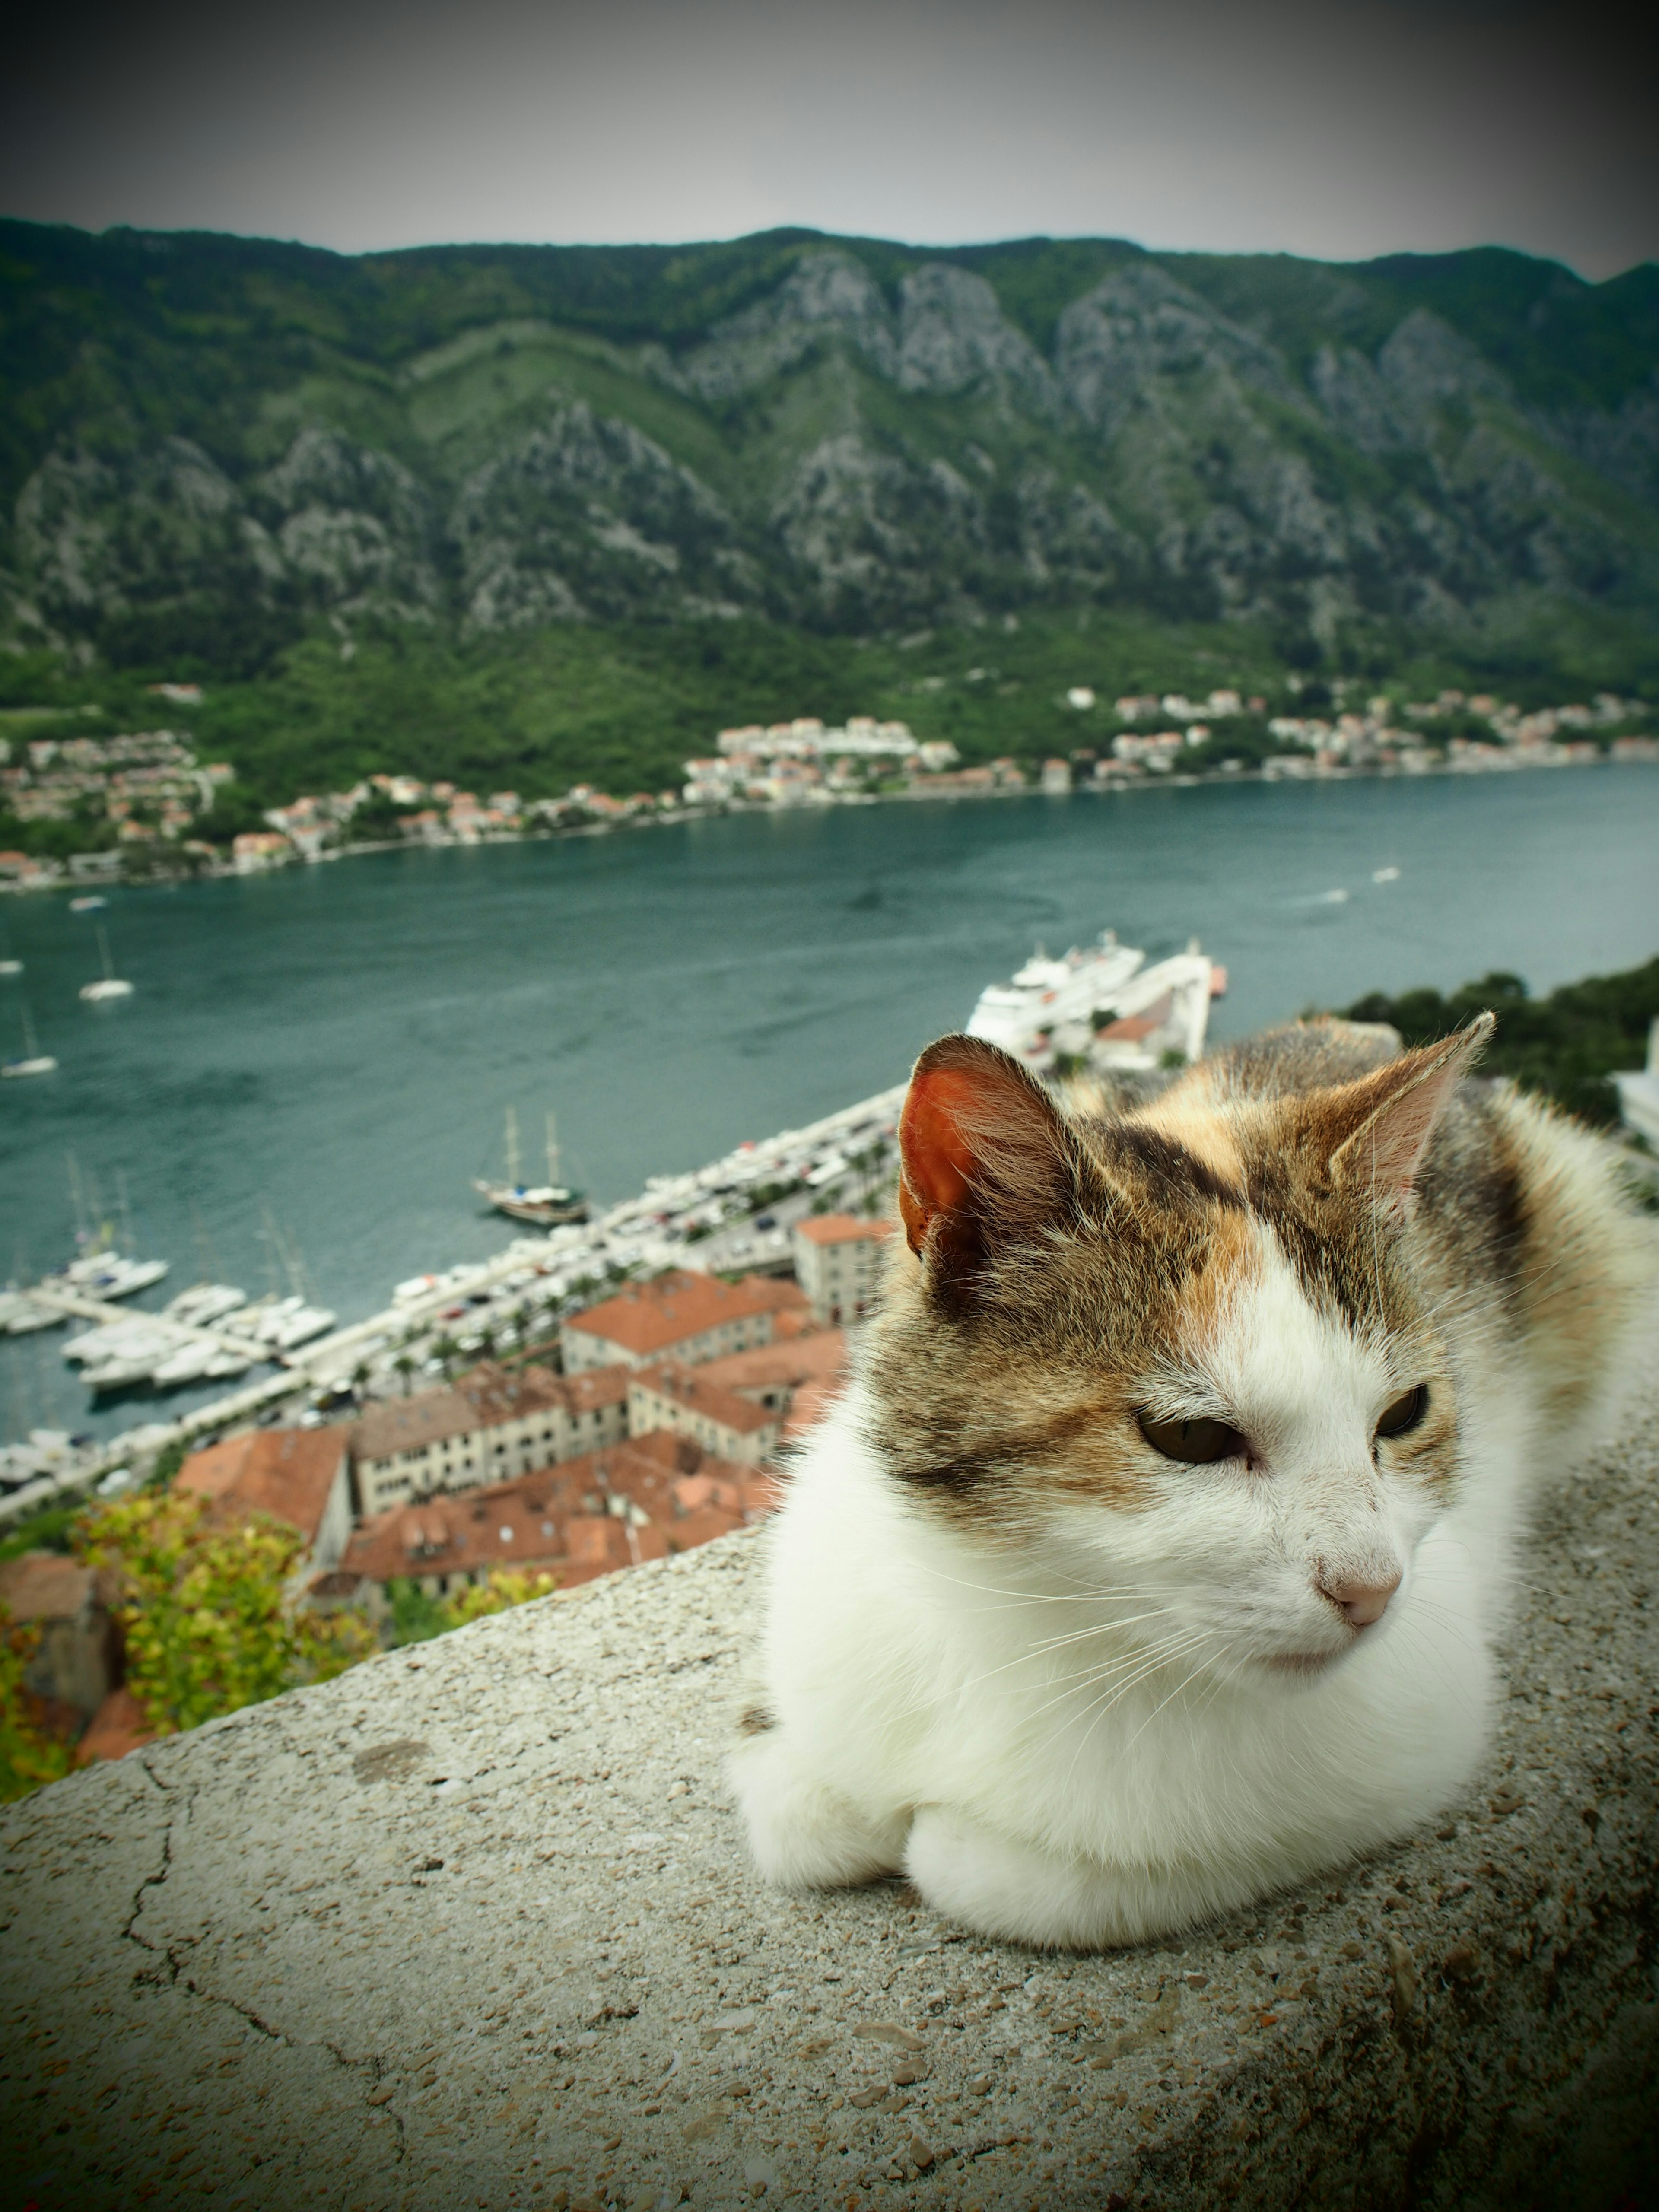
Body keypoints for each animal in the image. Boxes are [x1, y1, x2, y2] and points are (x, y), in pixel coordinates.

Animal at [734, 1013, 1654, 1946]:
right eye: (1190, 1436)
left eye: (1404, 1413)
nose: (1372, 1590)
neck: (1023, 1621)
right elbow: (796, 1811)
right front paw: (820, 1787)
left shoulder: (1425, 1730)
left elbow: (1018, 1876)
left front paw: (949, 1843)